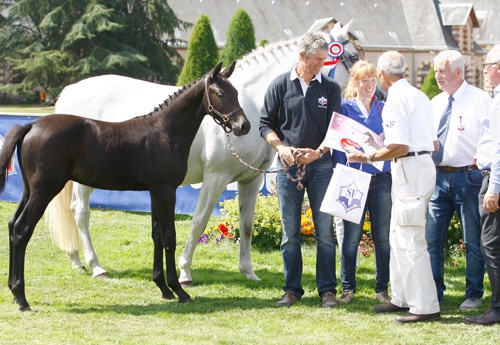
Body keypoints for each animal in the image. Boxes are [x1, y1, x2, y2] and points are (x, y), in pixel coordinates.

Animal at [44, 20, 356, 284]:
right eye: (351, 57)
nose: (359, 93)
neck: (251, 103)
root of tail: (70, 93)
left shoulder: (250, 179)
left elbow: (246, 225)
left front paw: (248, 271)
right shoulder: (216, 178)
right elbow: (198, 222)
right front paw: (184, 272)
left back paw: (76, 259)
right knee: (80, 211)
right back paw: (96, 265)